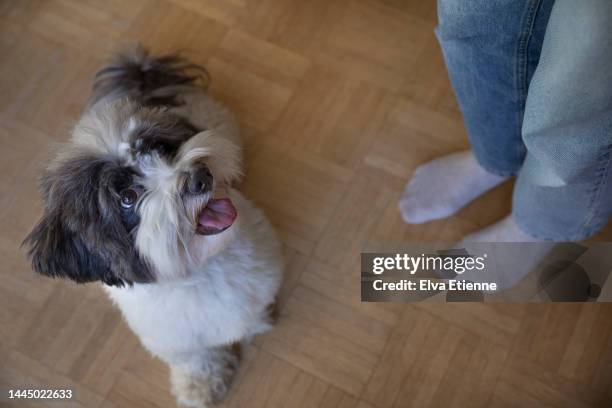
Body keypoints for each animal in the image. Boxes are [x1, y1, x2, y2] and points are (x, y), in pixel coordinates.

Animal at [22, 47, 284, 404]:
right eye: (128, 198)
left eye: (158, 147)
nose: (201, 176)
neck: (198, 269)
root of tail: (140, 75)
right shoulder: (172, 339)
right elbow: (195, 359)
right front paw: (199, 386)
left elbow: (252, 310)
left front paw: (259, 322)